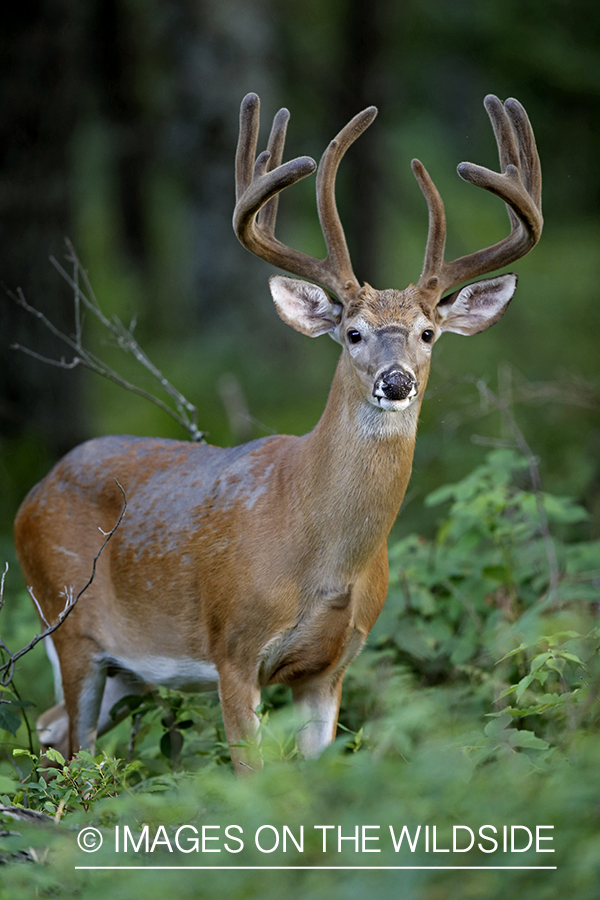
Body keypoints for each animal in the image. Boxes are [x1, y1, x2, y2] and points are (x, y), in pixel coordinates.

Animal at [14, 95, 540, 776]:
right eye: (352, 333)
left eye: (428, 333)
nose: (396, 382)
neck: (322, 555)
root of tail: (33, 494)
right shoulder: (233, 649)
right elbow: (251, 780)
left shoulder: (330, 667)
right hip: (67, 621)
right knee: (70, 748)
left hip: (124, 666)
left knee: (53, 733)